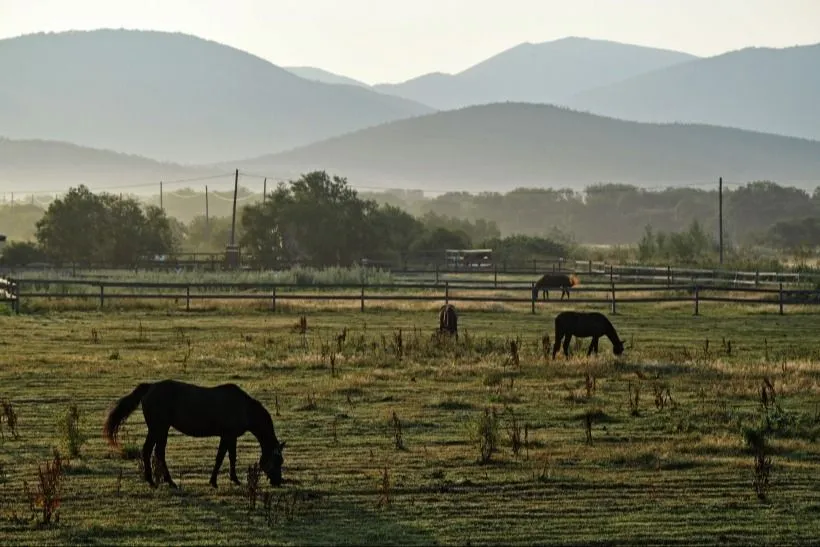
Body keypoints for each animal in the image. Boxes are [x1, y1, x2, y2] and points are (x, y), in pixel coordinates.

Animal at [102, 378, 286, 490]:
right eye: (277, 461)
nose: (278, 482)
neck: (245, 408)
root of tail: (150, 387)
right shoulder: (227, 435)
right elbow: (220, 457)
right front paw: (214, 482)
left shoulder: (231, 436)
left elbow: (231, 457)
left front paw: (234, 479)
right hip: (158, 428)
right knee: (151, 451)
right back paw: (158, 481)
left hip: (161, 429)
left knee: (157, 452)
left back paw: (163, 481)